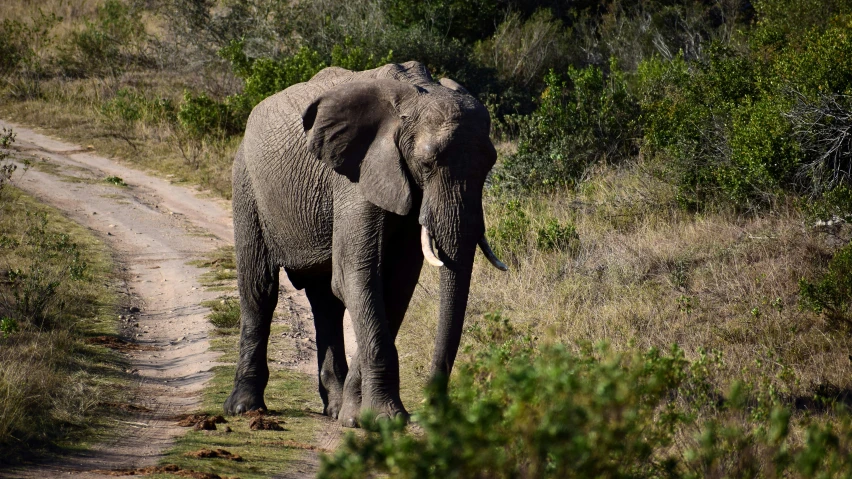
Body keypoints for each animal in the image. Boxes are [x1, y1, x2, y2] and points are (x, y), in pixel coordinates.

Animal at [223, 61, 510, 428]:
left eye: (490, 163)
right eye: (427, 163)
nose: (433, 407)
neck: (412, 99)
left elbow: (394, 286)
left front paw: (355, 415)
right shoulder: (357, 179)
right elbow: (356, 277)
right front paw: (386, 419)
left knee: (325, 302)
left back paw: (333, 408)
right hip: (246, 182)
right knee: (260, 290)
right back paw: (245, 408)